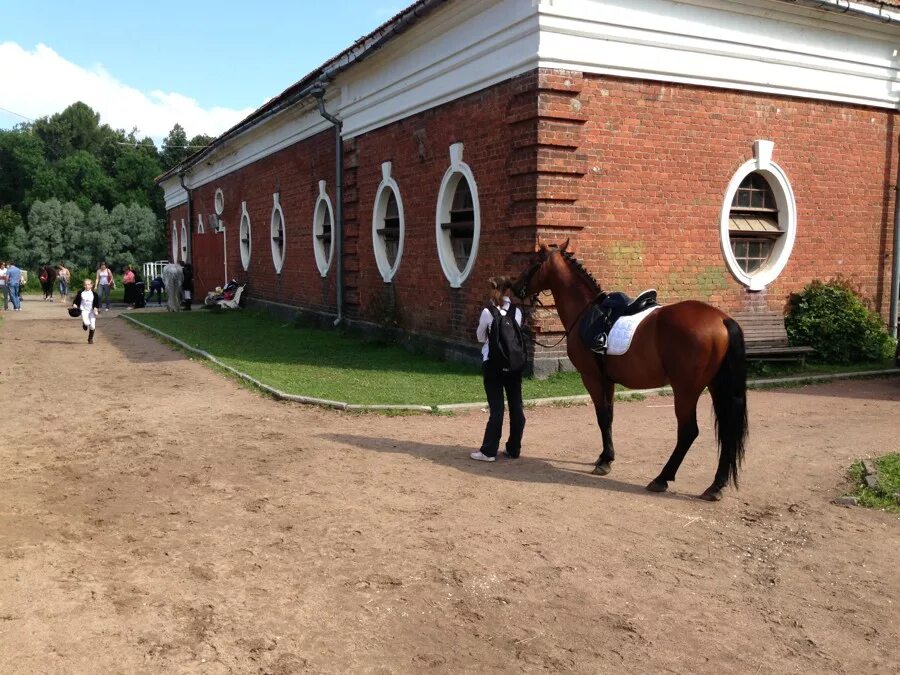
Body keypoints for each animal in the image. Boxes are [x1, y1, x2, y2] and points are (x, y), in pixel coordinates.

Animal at [516, 239, 748, 502]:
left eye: (533, 261)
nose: (515, 288)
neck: (586, 312)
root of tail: (722, 319)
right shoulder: (608, 380)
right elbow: (609, 417)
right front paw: (606, 456)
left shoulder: (592, 378)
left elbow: (602, 416)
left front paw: (605, 461)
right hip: (717, 388)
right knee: (727, 431)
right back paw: (716, 485)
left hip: (686, 391)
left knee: (689, 432)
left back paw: (662, 478)